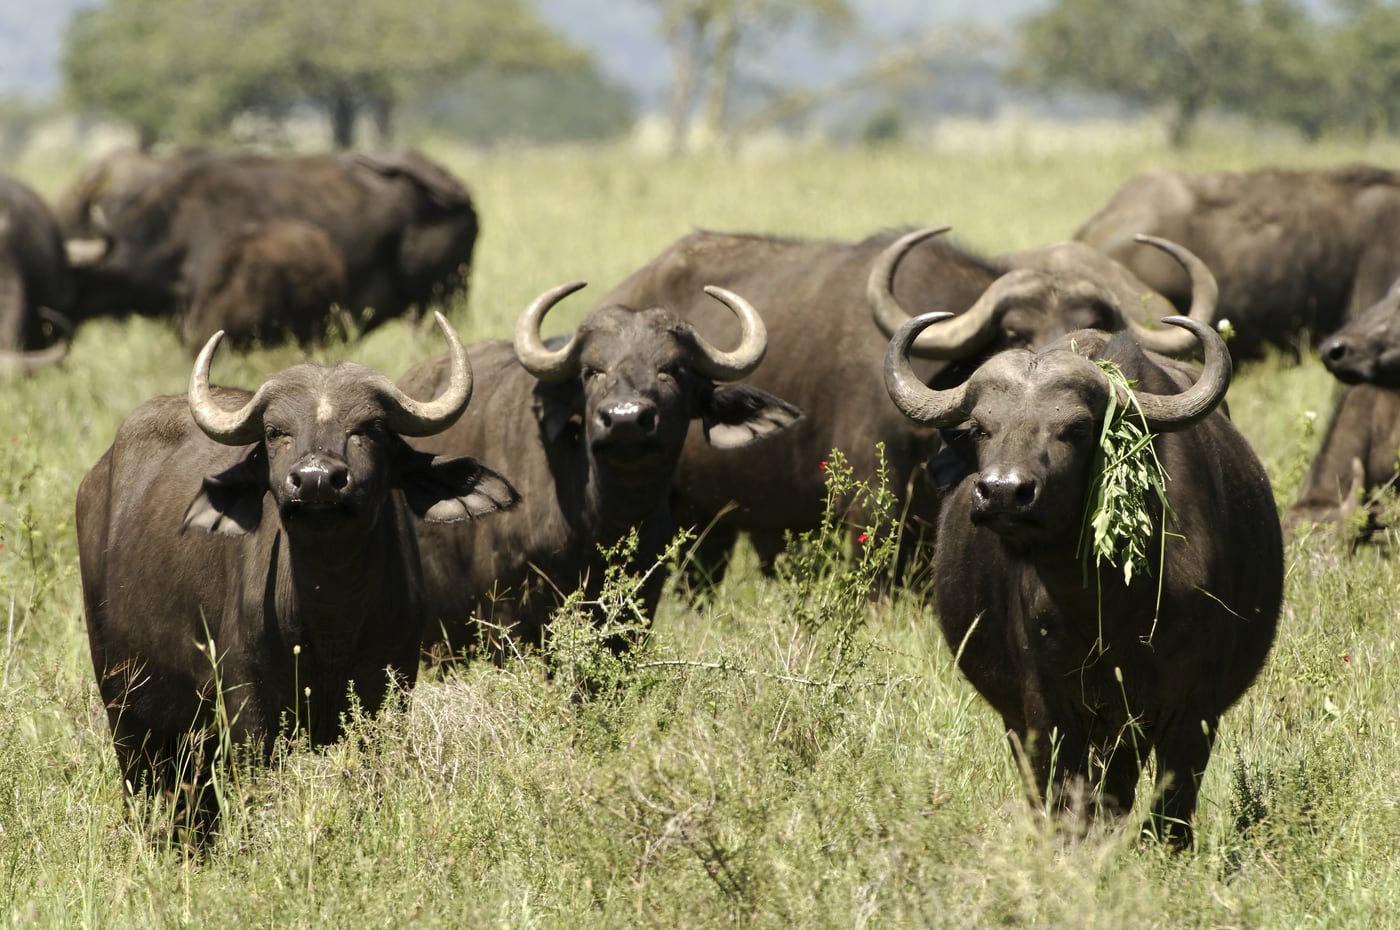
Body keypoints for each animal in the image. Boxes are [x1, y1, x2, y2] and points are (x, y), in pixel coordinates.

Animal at [76, 313, 517, 838]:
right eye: (275, 432)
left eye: (370, 427)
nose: (316, 480)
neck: (329, 619)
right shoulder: (249, 711)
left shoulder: (386, 697)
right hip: (124, 704)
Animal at [399, 281, 801, 658]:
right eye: (592, 371)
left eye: (672, 370)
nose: (625, 420)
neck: (602, 520)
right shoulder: (506, 617)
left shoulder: (640, 604)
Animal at [884, 253, 1283, 846]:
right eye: (980, 429)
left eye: (1074, 429)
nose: (1003, 491)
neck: (1105, 602)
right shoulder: (1046, 707)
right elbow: (1064, 800)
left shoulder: (1192, 709)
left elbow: (1170, 813)